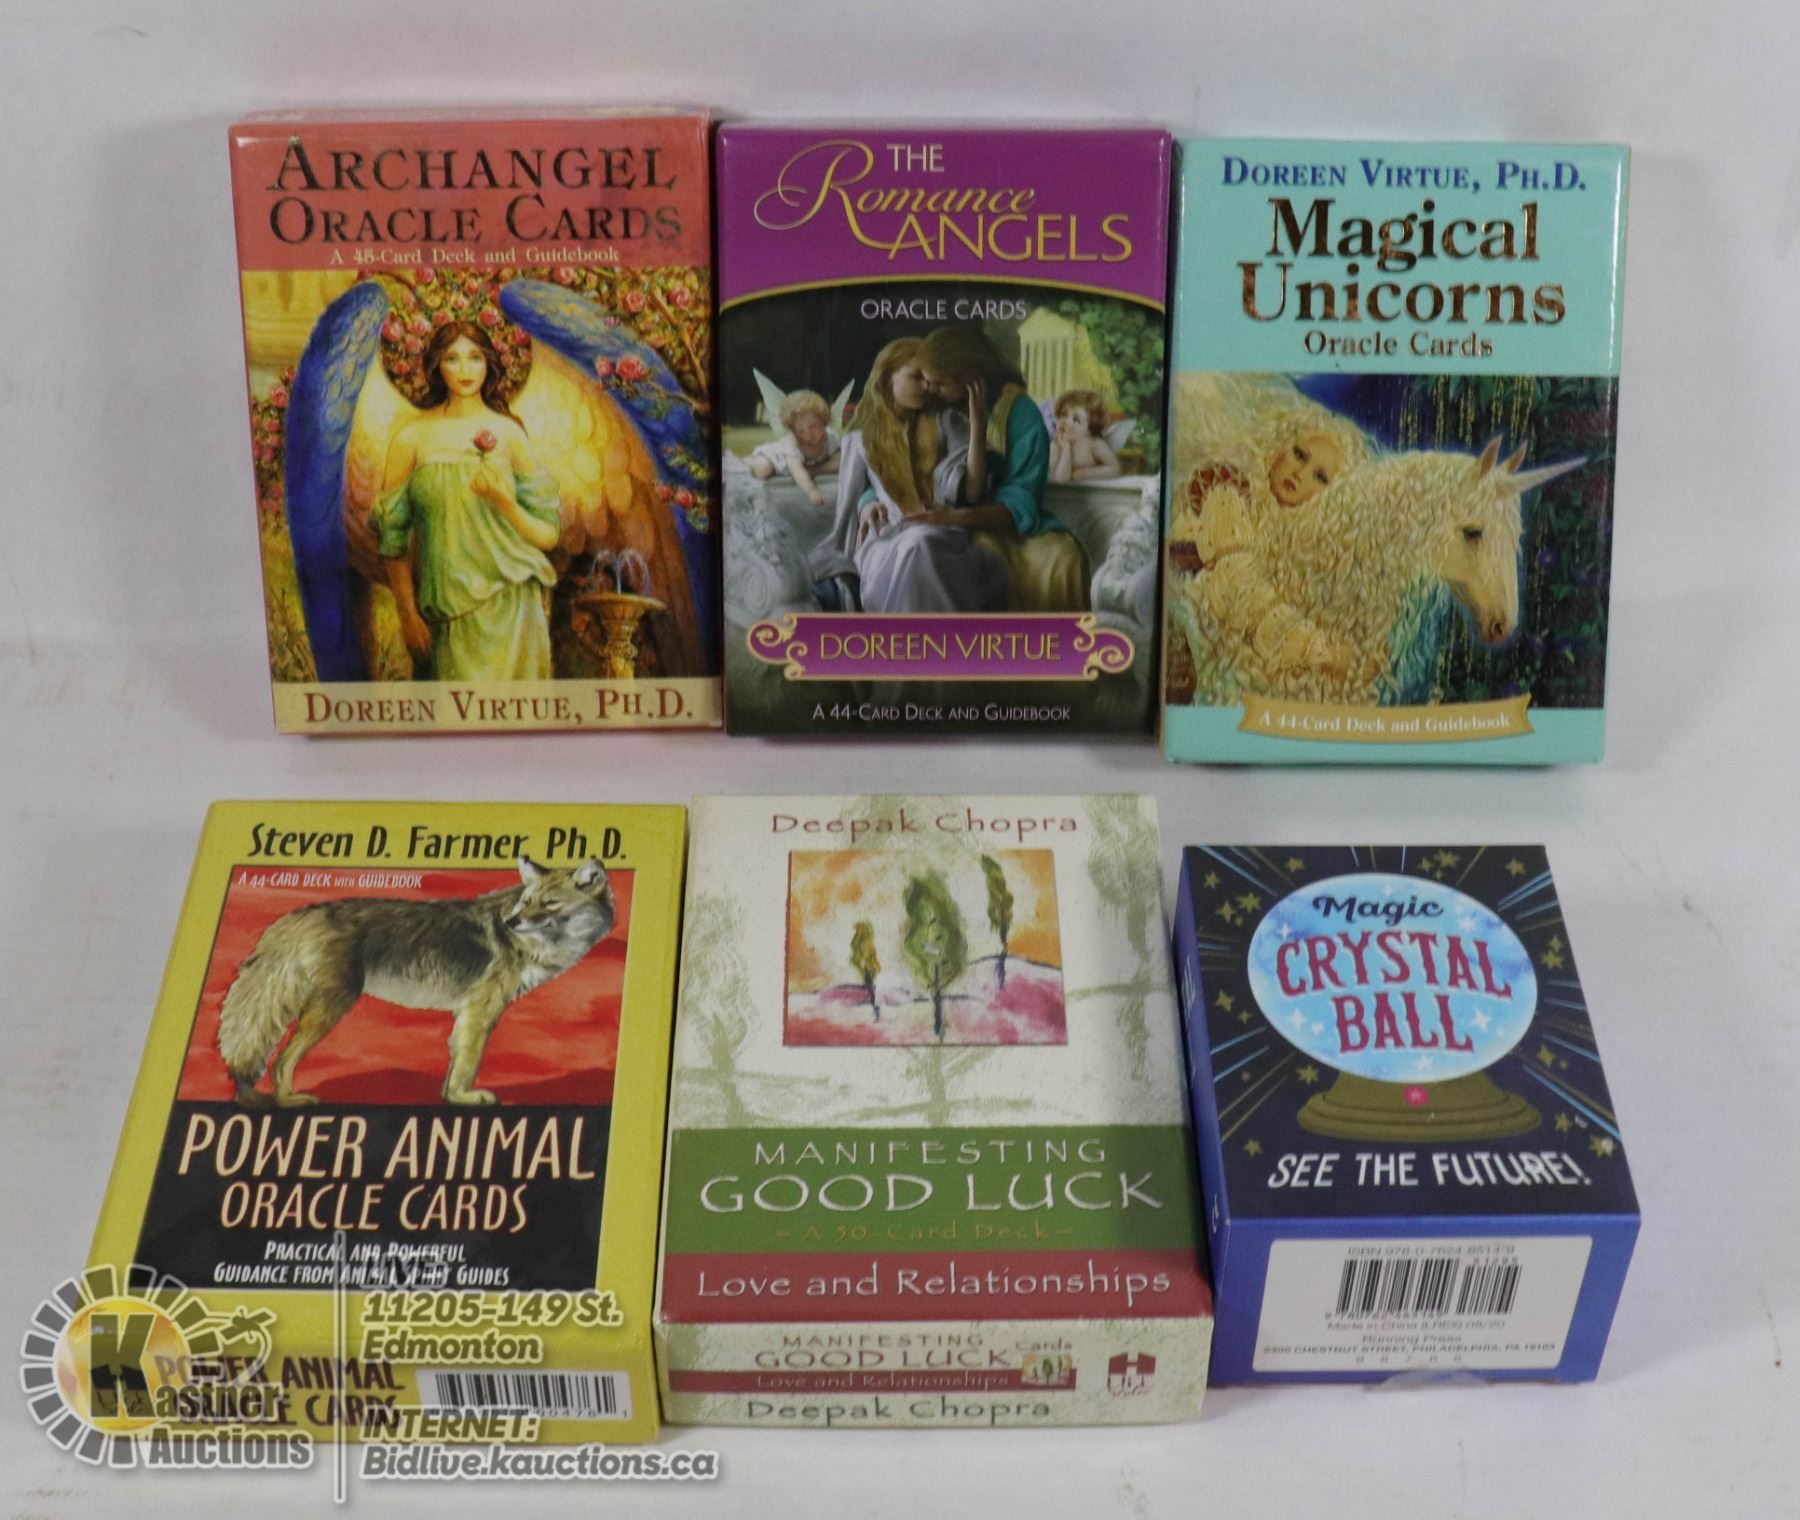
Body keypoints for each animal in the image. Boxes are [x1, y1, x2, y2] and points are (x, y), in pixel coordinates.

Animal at [217, 858, 614, 1107]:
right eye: (527, 902)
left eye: (548, 904)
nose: (512, 922)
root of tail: (297, 915)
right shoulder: (481, 1010)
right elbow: (468, 1061)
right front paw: (464, 1098)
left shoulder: (468, 1012)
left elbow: (455, 1061)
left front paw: (451, 1096)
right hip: (331, 1008)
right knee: (281, 1060)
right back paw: (289, 1099)